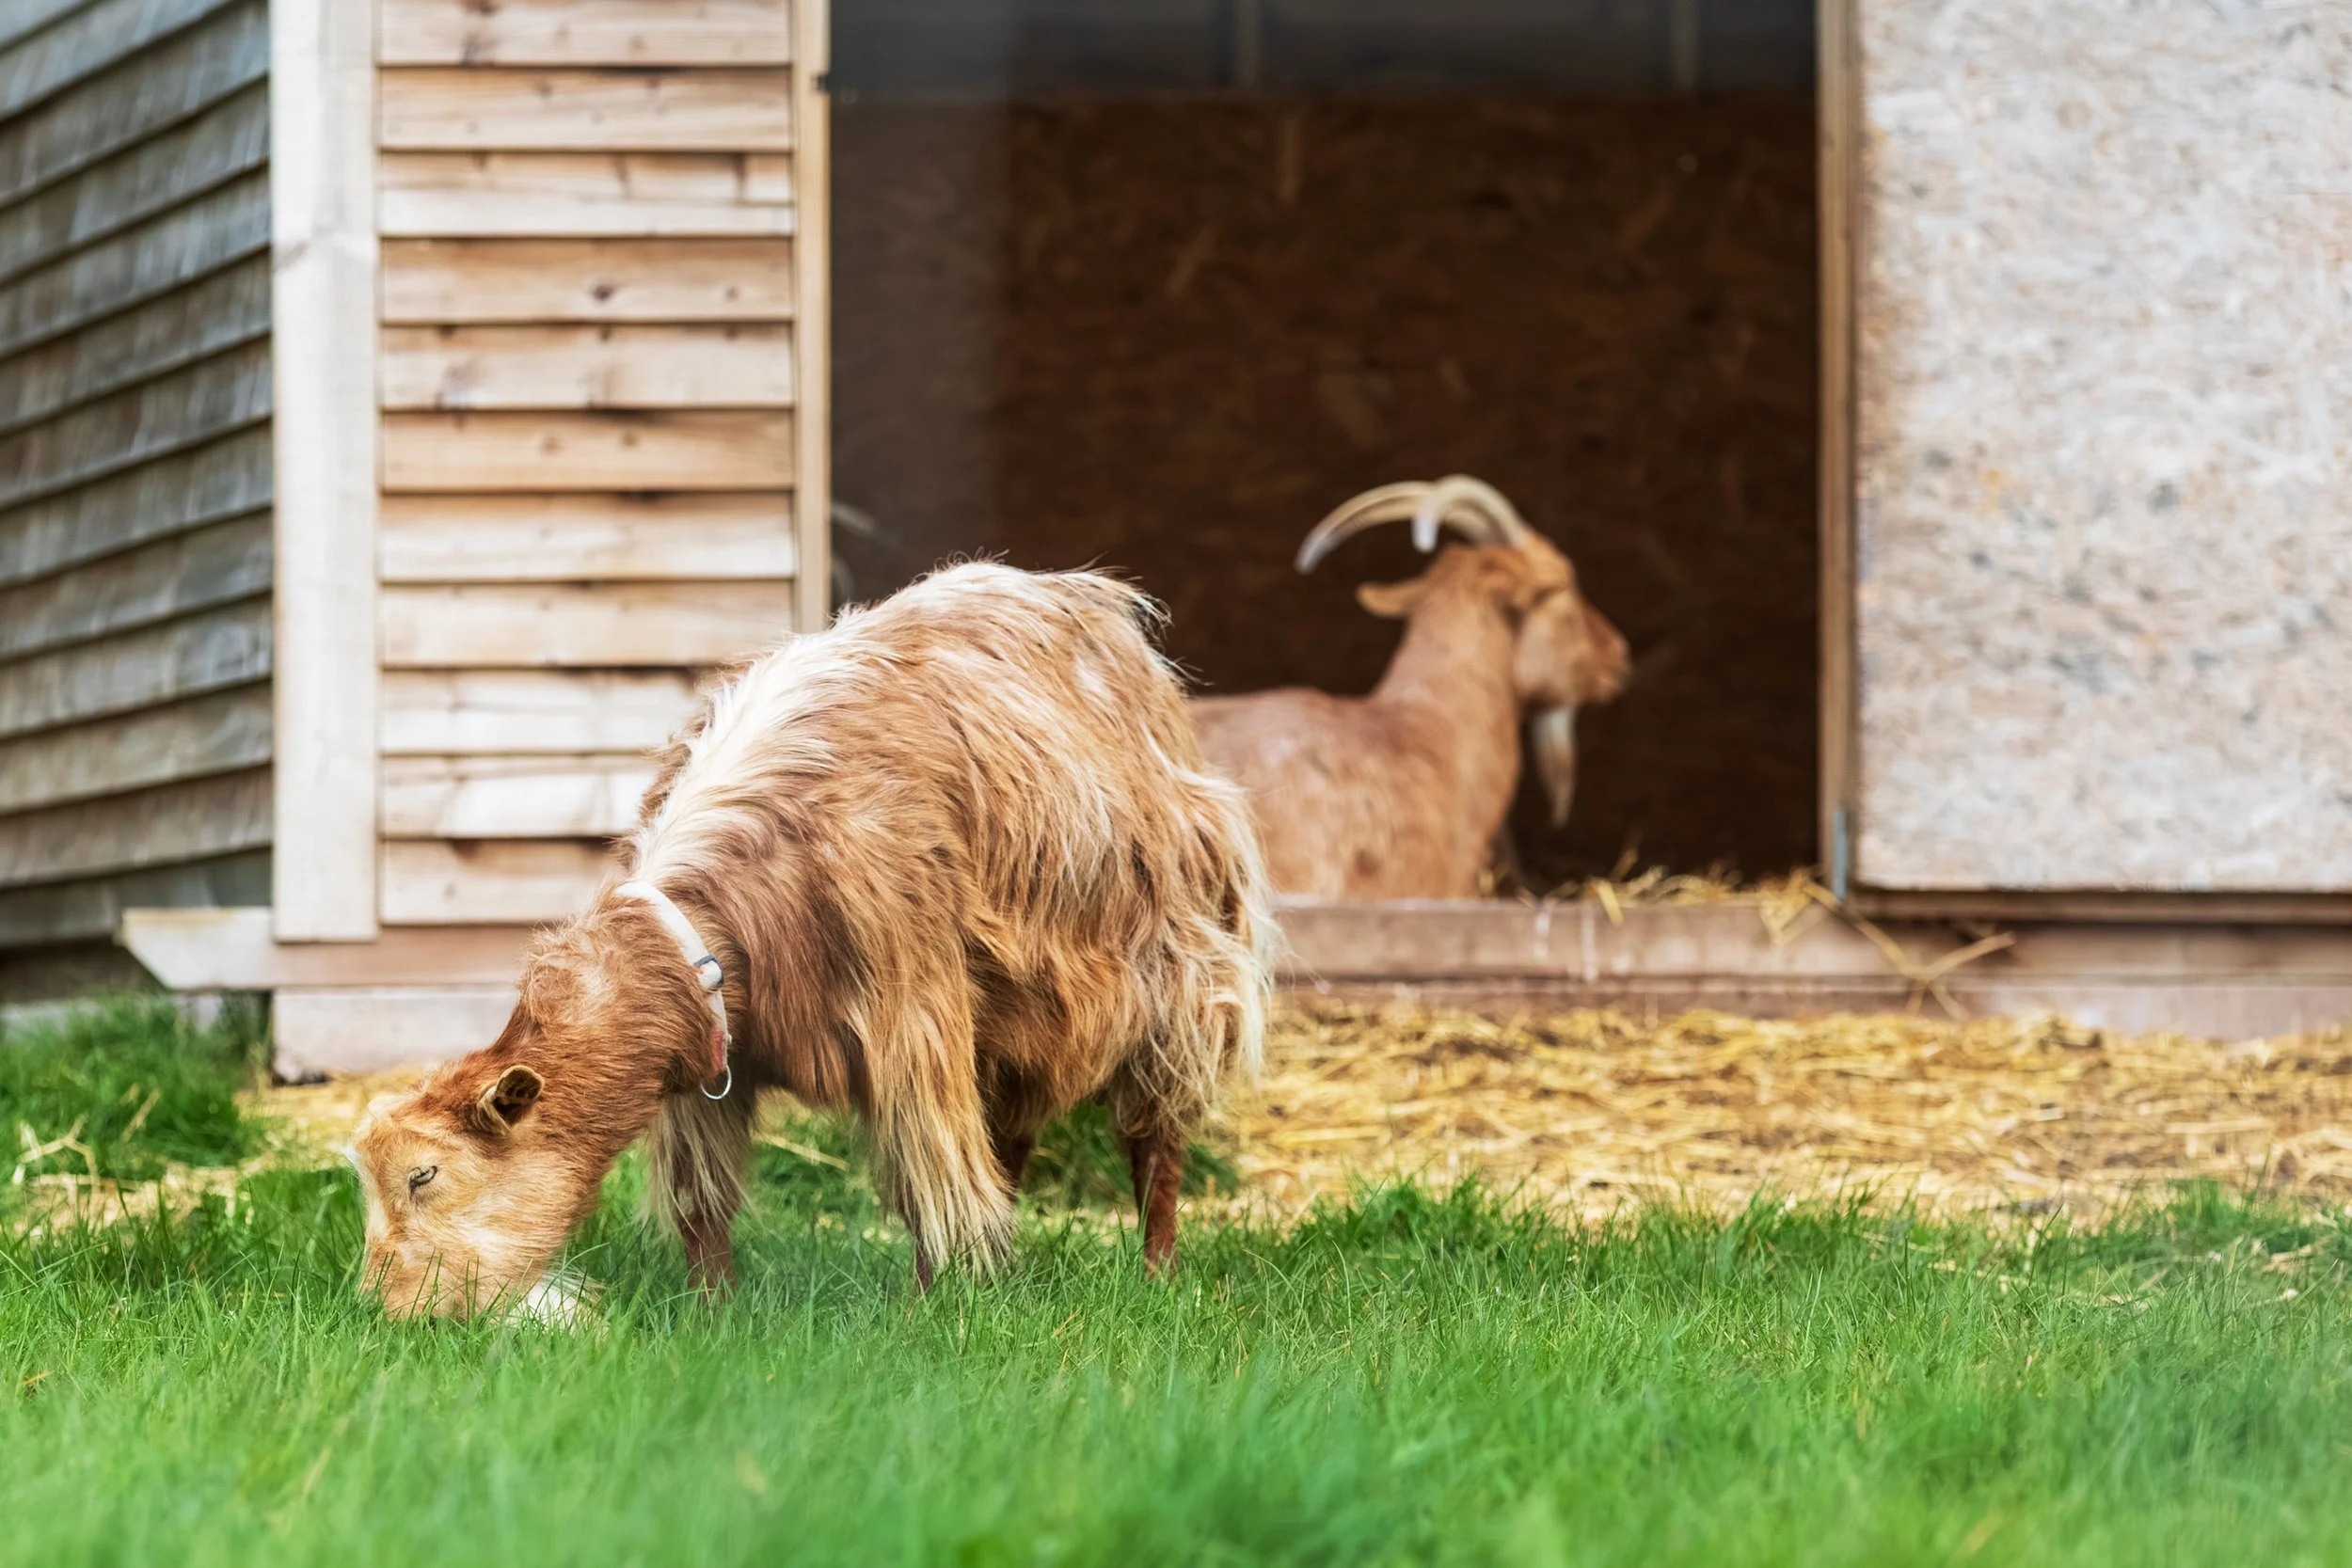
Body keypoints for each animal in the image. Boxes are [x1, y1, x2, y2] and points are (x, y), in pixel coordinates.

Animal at [350, 564, 1273, 1318]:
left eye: (424, 1174)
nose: (383, 1312)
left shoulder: (914, 1030)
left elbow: (931, 1185)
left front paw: (926, 1314)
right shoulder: (704, 1075)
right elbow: (703, 1206)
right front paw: (715, 1317)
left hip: (1180, 986)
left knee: (1153, 1142)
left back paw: (1157, 1272)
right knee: (1008, 1141)